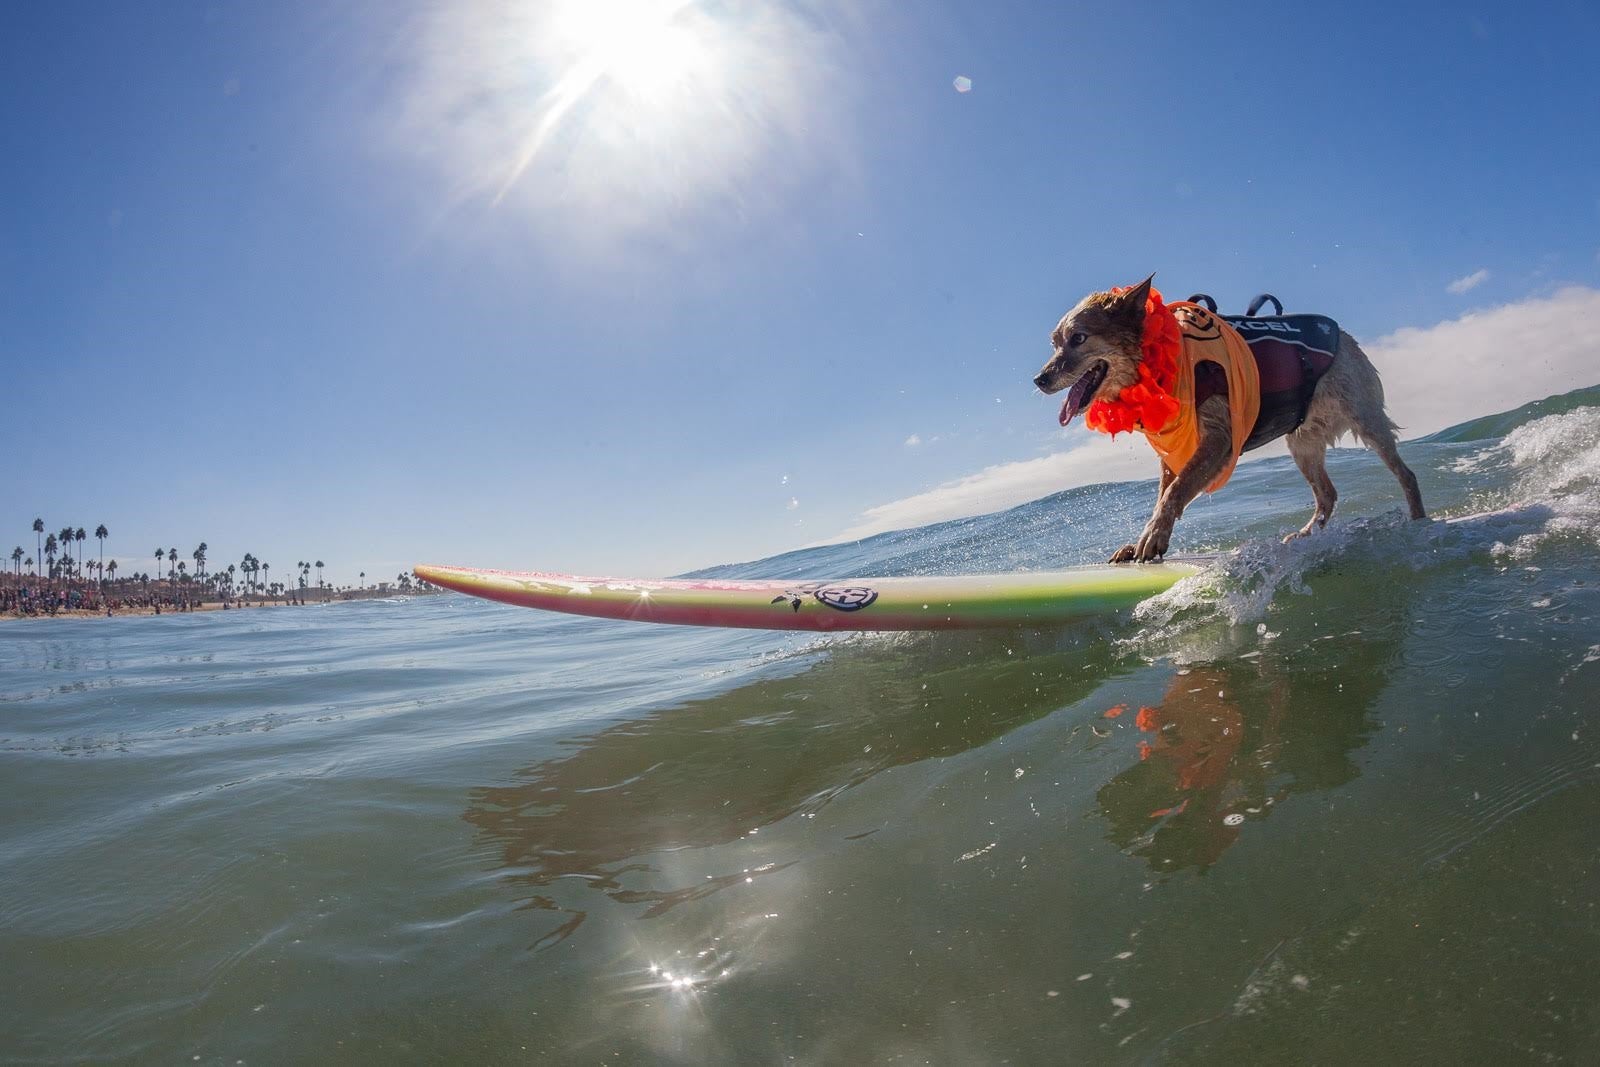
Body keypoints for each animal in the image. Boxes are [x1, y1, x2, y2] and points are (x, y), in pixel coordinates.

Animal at [1036, 275, 1427, 563]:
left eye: (1078, 338)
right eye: (1054, 342)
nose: (1039, 380)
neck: (1154, 359)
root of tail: (1344, 336)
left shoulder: (1218, 439)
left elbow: (1176, 490)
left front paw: (1153, 536)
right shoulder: (1173, 452)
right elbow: (1165, 492)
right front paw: (1139, 541)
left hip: (1366, 419)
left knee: (1405, 474)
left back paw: (1419, 521)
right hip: (1301, 443)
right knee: (1327, 494)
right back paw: (1305, 535)